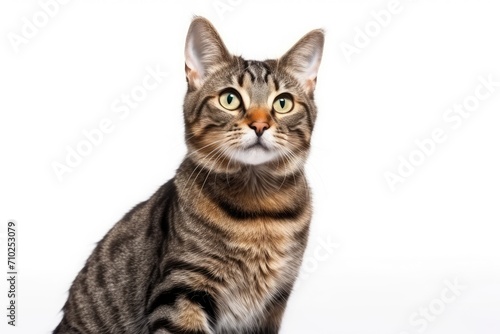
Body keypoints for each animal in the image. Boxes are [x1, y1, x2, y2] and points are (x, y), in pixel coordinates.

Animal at [54, 16, 324, 334]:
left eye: (283, 103)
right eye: (230, 99)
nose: (260, 125)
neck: (259, 212)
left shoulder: (273, 302)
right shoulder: (182, 289)